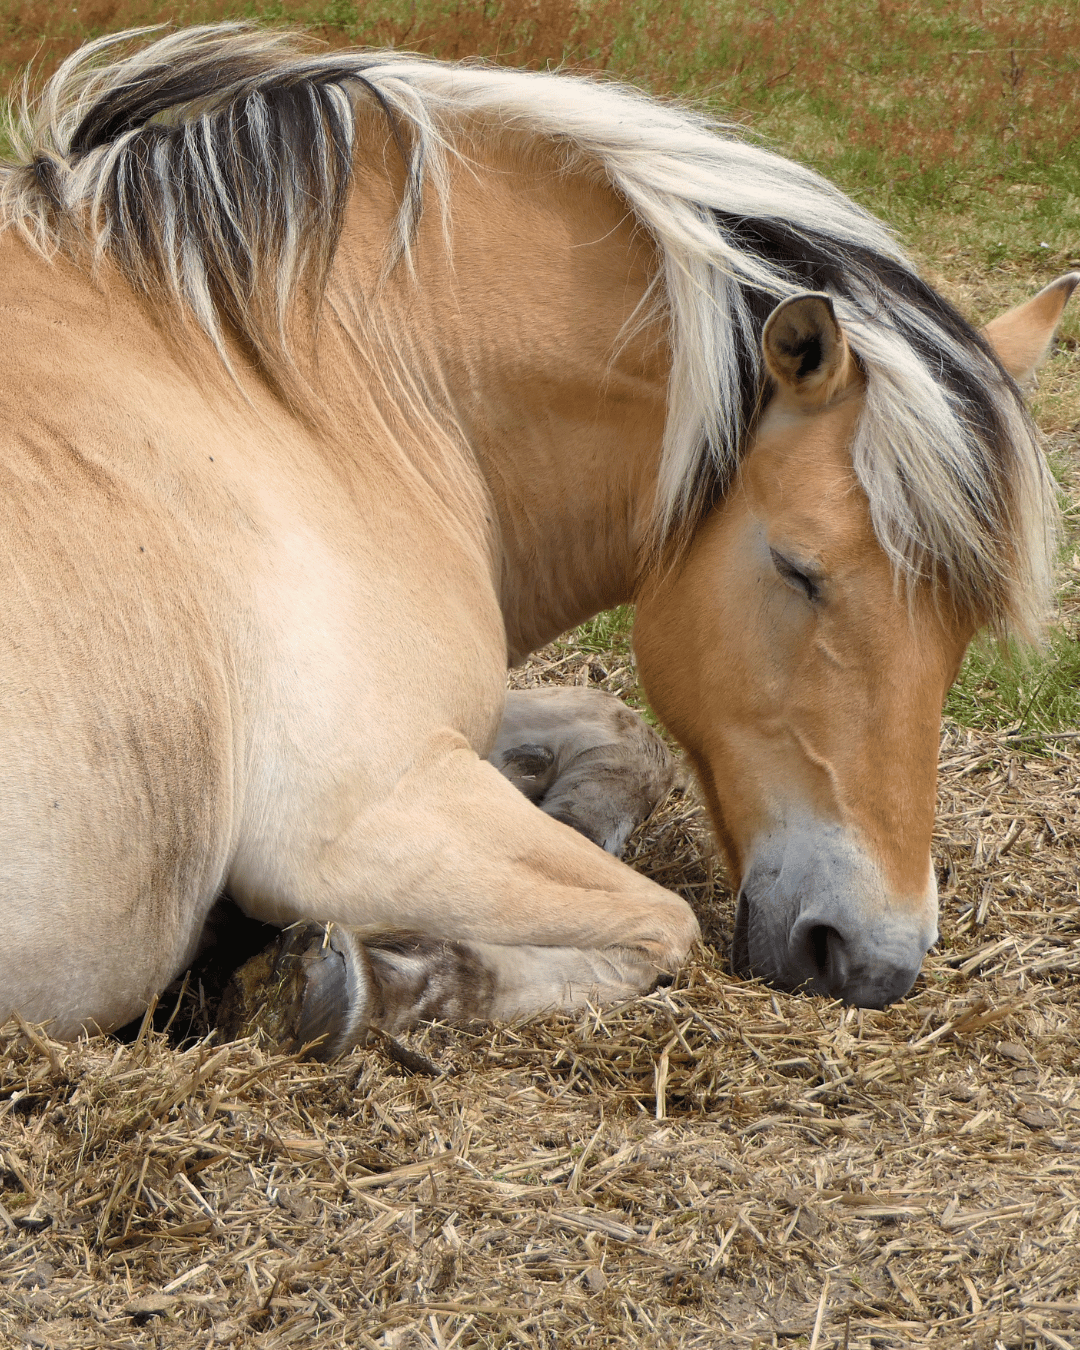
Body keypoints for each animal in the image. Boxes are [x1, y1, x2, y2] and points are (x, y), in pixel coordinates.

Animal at [0, 25, 1073, 1053]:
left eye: (965, 628)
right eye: (797, 568)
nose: (875, 958)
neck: (284, 383)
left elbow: (620, 728)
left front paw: (581, 812)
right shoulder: (360, 814)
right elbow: (660, 924)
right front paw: (365, 987)